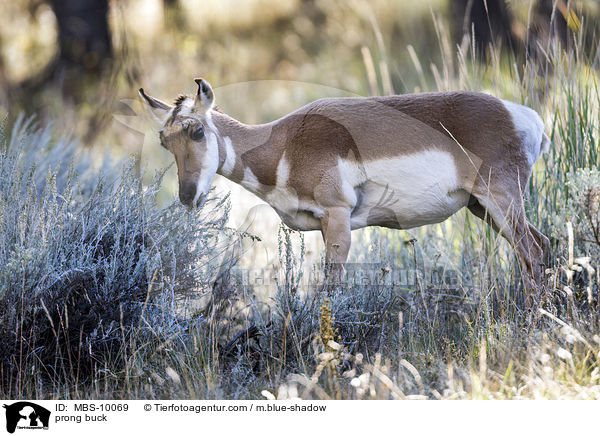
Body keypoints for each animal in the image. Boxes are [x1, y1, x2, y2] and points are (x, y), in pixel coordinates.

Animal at [138, 78, 552, 282]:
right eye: (164, 140)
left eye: (197, 131)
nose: (187, 196)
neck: (284, 143)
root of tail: (522, 115)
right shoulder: (324, 227)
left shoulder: (338, 219)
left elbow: (331, 286)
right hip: (484, 209)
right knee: (541, 247)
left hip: (501, 202)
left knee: (532, 253)